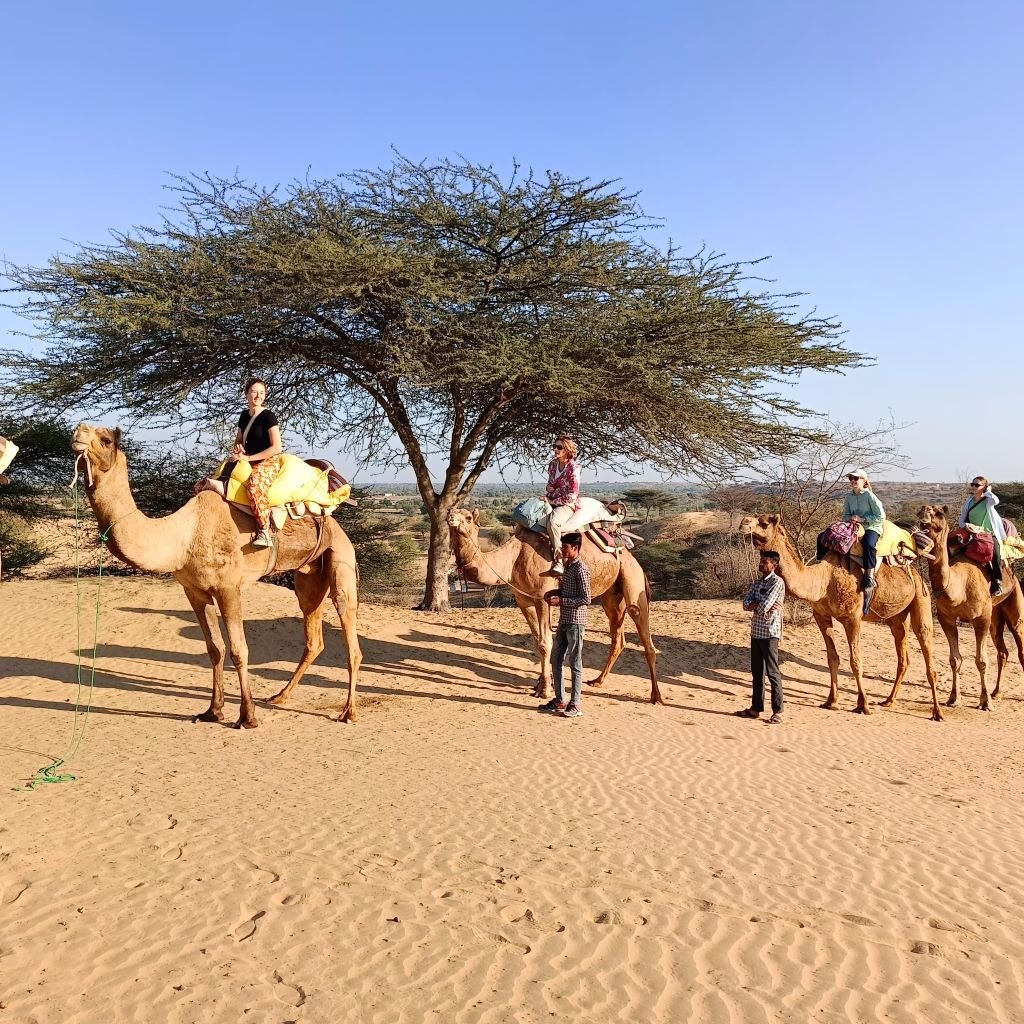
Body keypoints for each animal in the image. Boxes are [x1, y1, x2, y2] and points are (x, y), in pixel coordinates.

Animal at [71, 424, 362, 728]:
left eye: (105, 439)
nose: (78, 433)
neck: (184, 536)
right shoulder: (194, 591)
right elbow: (215, 648)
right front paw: (213, 710)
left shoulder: (229, 587)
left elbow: (239, 649)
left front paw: (247, 716)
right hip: (308, 577)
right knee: (313, 637)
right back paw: (279, 697)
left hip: (341, 560)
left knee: (350, 633)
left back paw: (348, 712)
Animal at [447, 509, 662, 704]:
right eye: (452, 510)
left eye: (468, 517)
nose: (450, 516)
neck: (513, 559)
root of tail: (630, 555)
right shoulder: (523, 600)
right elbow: (537, 641)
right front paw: (541, 684)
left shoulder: (542, 597)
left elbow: (545, 642)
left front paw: (544, 690)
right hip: (611, 595)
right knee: (618, 636)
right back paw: (598, 680)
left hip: (632, 580)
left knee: (643, 629)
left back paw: (656, 696)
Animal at [742, 514, 943, 721]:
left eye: (764, 522)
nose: (744, 522)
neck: (824, 581)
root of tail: (916, 572)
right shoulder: (821, 616)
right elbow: (832, 658)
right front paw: (831, 701)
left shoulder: (852, 617)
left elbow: (855, 661)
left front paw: (863, 705)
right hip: (896, 616)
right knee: (902, 653)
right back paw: (889, 700)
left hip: (921, 596)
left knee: (925, 644)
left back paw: (937, 712)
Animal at [914, 504, 1024, 710]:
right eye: (921, 510)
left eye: (939, 514)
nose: (924, 518)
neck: (959, 586)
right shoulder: (946, 618)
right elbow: (954, 659)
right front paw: (953, 698)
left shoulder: (980, 619)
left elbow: (981, 660)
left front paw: (985, 702)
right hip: (995, 615)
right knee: (1003, 652)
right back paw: (996, 692)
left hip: (1014, 601)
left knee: (1019, 643)